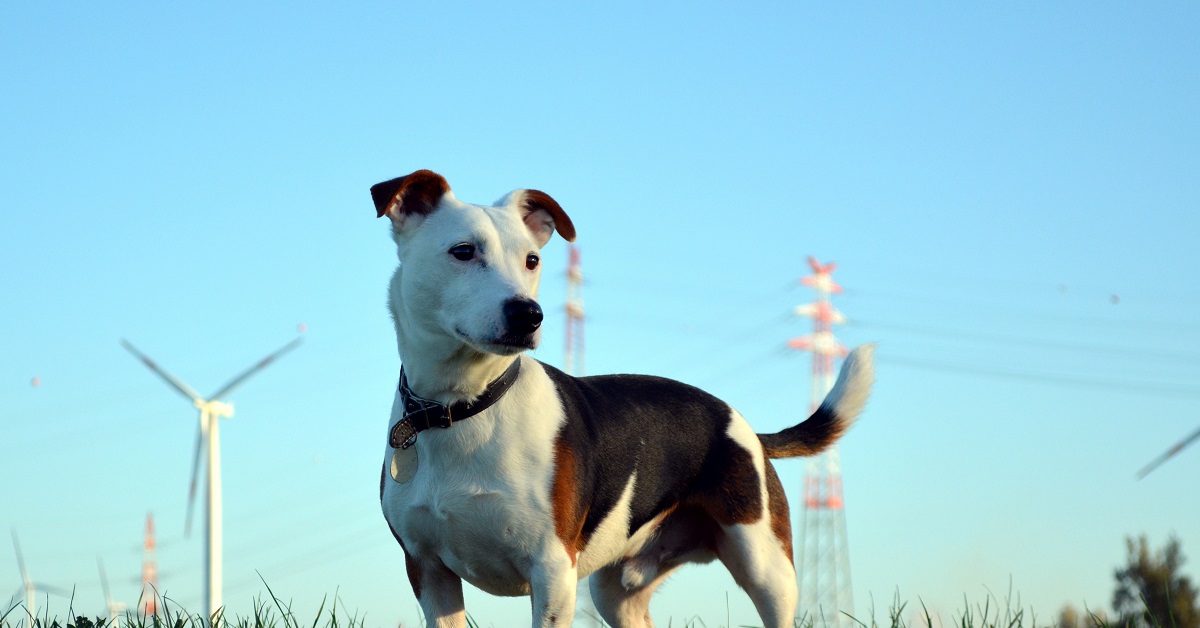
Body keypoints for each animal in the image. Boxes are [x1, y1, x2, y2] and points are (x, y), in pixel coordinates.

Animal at [372, 169, 873, 628]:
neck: (461, 406)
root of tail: (745, 425)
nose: (528, 315)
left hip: (766, 566)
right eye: (463, 251)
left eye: (532, 260)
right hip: (616, 593)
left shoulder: (552, 570)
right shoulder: (428, 570)